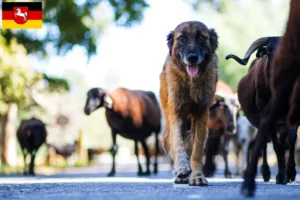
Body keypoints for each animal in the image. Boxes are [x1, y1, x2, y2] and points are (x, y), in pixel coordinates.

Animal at [159, 21, 218, 185]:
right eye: (182, 38)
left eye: (201, 37)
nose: (192, 58)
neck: (191, 82)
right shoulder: (176, 113)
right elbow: (178, 145)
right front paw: (182, 168)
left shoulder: (201, 115)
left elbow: (196, 152)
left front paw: (197, 176)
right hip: (167, 133)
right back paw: (181, 174)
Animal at [237, 0, 300, 197]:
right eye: (269, 50)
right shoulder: (266, 116)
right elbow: (277, 147)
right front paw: (281, 176)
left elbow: (291, 140)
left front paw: (290, 172)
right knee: (264, 143)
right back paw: (265, 173)